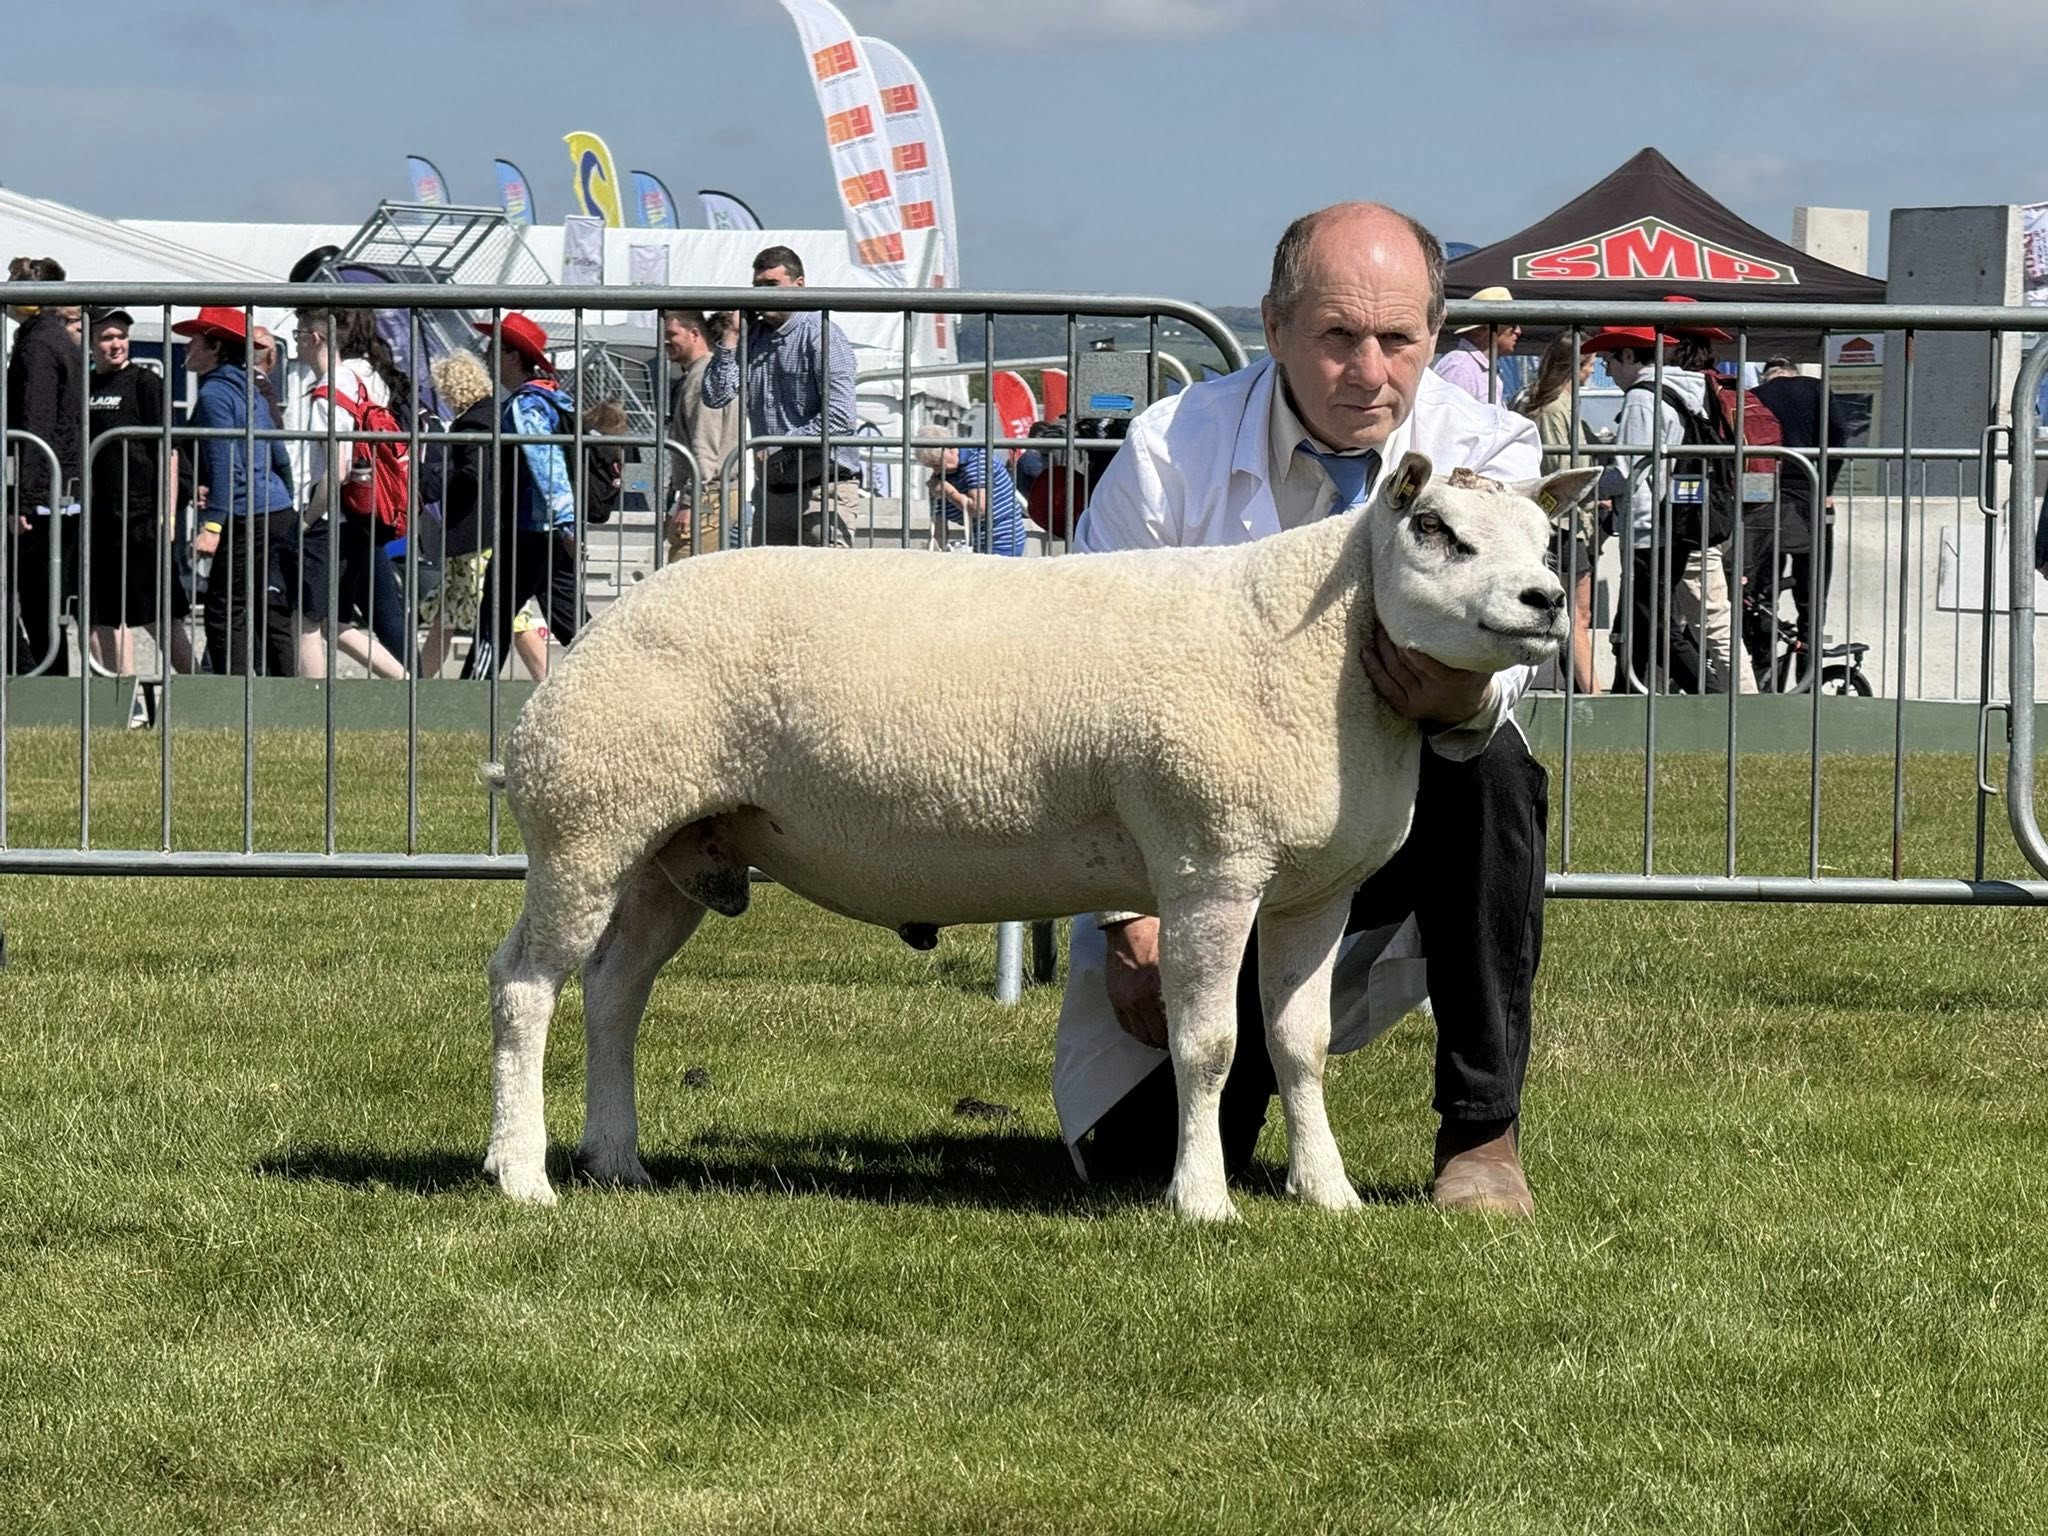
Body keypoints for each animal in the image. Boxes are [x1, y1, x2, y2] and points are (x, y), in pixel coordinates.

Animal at [482, 451, 1598, 1221]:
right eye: (1434, 528)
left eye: (1546, 539)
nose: (1546, 602)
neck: (1321, 649)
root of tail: (603, 624)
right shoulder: (1208, 864)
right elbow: (1209, 1045)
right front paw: (1202, 1201)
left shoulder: (1312, 890)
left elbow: (1300, 1046)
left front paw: (1327, 1193)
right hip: (587, 820)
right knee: (526, 985)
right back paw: (522, 1173)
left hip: (668, 844)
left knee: (614, 989)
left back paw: (615, 1159)